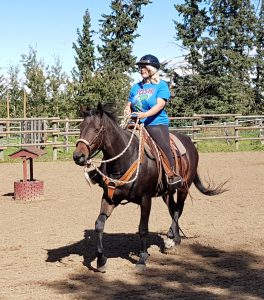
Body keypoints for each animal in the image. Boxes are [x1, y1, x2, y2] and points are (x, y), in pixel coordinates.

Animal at [72, 103, 227, 272]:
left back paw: (170, 239)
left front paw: (142, 259)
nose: (78, 156)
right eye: (81, 127)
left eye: (97, 129)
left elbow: (143, 228)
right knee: (173, 208)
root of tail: (189, 141)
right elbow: (99, 225)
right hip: (167, 192)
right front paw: (101, 260)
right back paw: (175, 239)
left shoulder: (145, 199)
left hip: (183, 187)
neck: (126, 158)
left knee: (178, 209)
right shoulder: (110, 197)